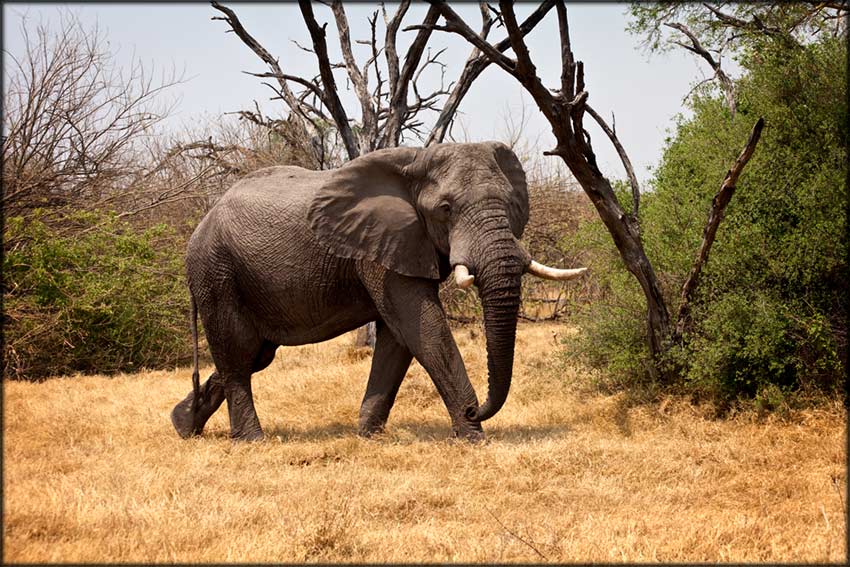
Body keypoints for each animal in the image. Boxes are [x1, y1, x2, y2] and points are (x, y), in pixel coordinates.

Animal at [170, 142, 588, 444]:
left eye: (513, 203)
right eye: (446, 209)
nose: (475, 410)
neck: (419, 160)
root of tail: (201, 223)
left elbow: (399, 339)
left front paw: (368, 435)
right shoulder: (383, 245)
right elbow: (422, 327)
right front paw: (473, 439)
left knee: (255, 355)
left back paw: (183, 425)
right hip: (217, 271)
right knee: (238, 354)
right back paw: (252, 441)